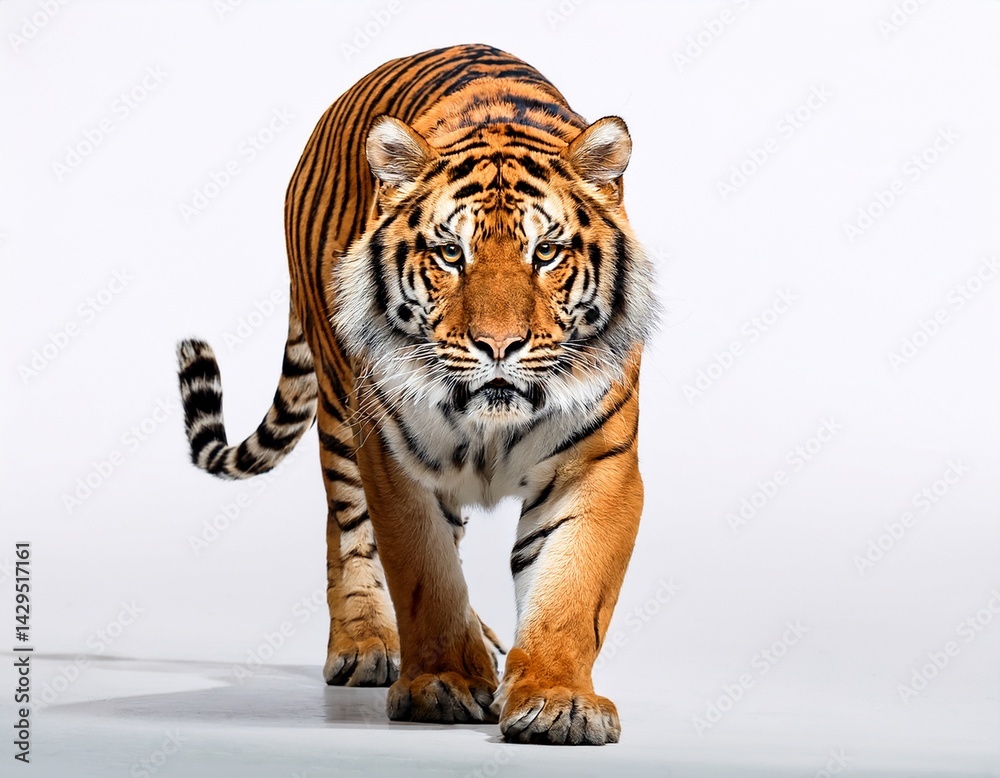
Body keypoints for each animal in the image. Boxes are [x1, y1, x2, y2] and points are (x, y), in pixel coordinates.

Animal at [177, 43, 655, 745]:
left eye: (546, 251)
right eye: (450, 253)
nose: (499, 345)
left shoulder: (597, 468)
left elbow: (571, 590)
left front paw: (558, 700)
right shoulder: (394, 461)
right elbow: (426, 576)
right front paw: (442, 684)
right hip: (340, 410)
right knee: (346, 531)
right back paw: (367, 646)